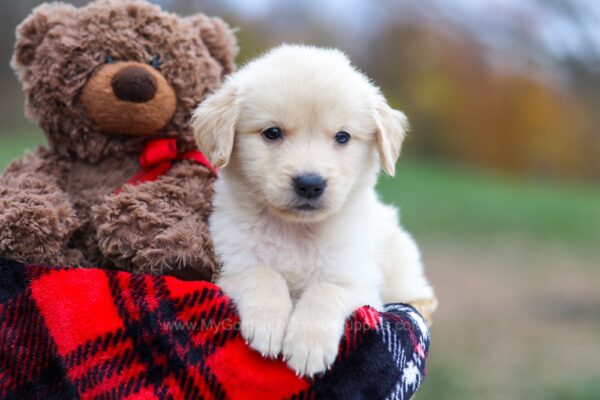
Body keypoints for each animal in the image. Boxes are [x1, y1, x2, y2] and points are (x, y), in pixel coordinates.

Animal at [192, 45, 436, 376]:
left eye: (342, 137)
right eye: (272, 133)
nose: (310, 184)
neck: (297, 230)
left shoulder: (359, 283)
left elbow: (326, 290)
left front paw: (308, 345)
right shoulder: (230, 265)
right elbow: (263, 273)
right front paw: (269, 324)